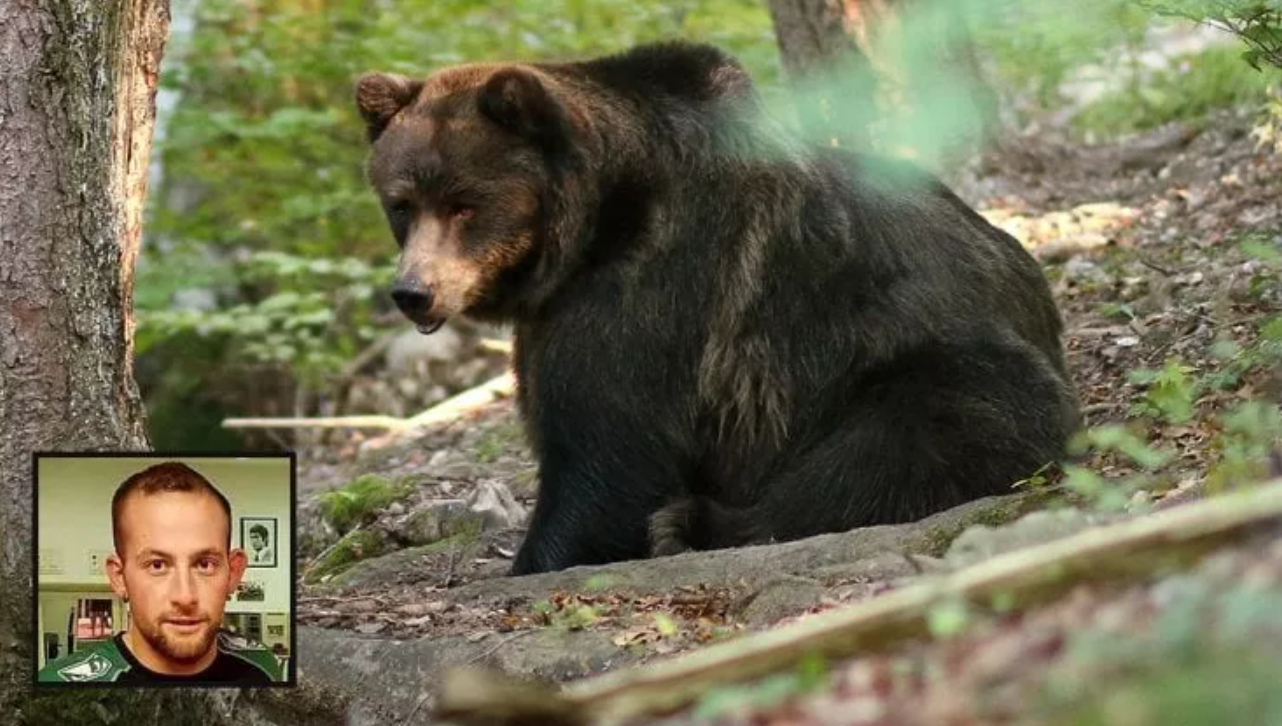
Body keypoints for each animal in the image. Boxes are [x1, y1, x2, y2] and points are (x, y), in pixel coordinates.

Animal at [356, 41, 1076, 574]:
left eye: (464, 203)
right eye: (401, 203)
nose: (413, 291)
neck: (593, 228)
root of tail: (1037, 294)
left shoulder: (653, 287)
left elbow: (606, 452)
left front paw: (542, 555)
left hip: (923, 355)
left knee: (923, 429)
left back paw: (692, 522)